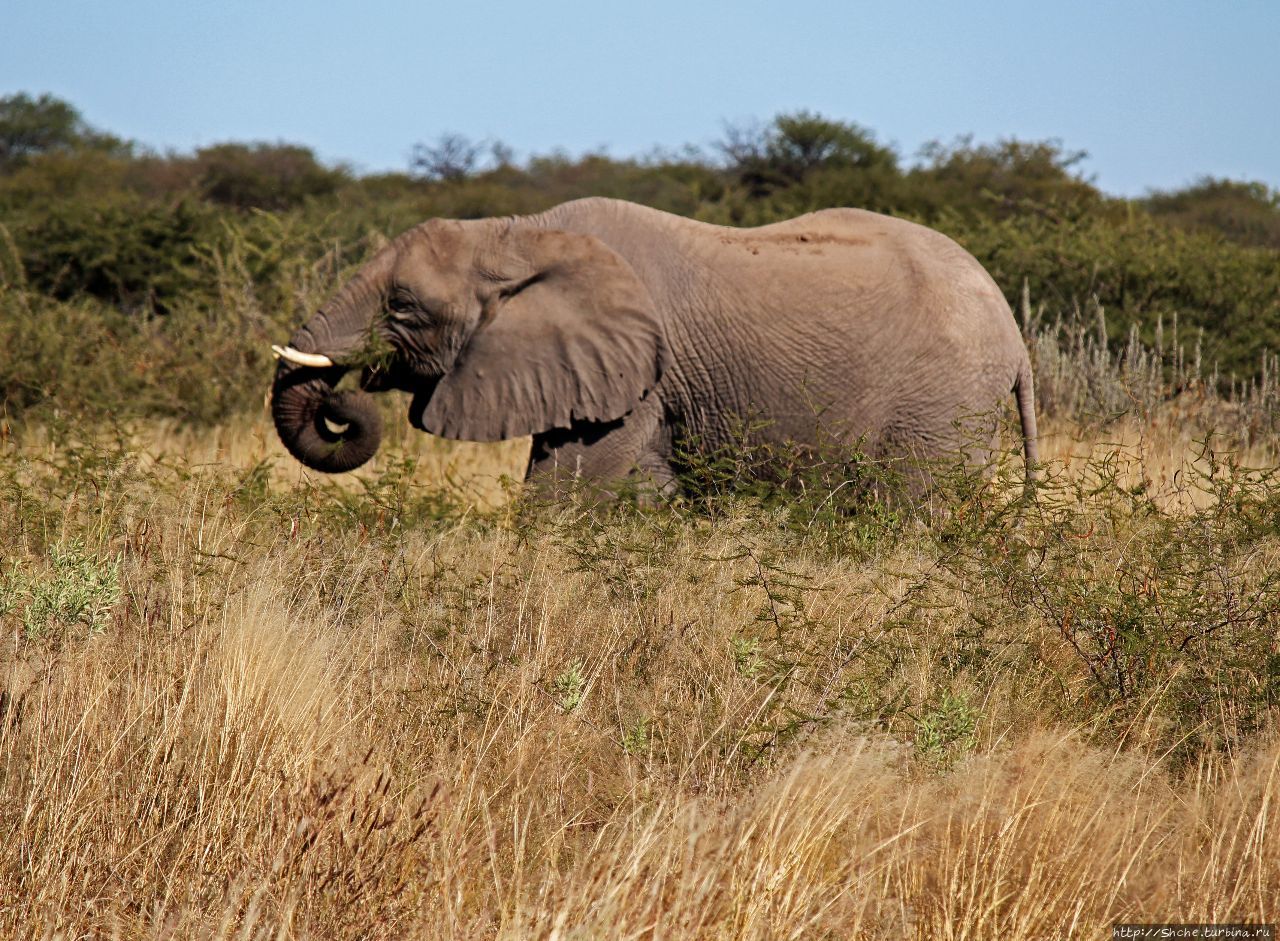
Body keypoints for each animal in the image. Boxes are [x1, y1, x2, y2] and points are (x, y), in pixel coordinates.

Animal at [272, 194, 1039, 496]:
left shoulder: (635, 382)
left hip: (941, 404)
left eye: (401, 307)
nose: (343, 401)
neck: (520, 232)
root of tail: (1015, 334)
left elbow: (562, 498)